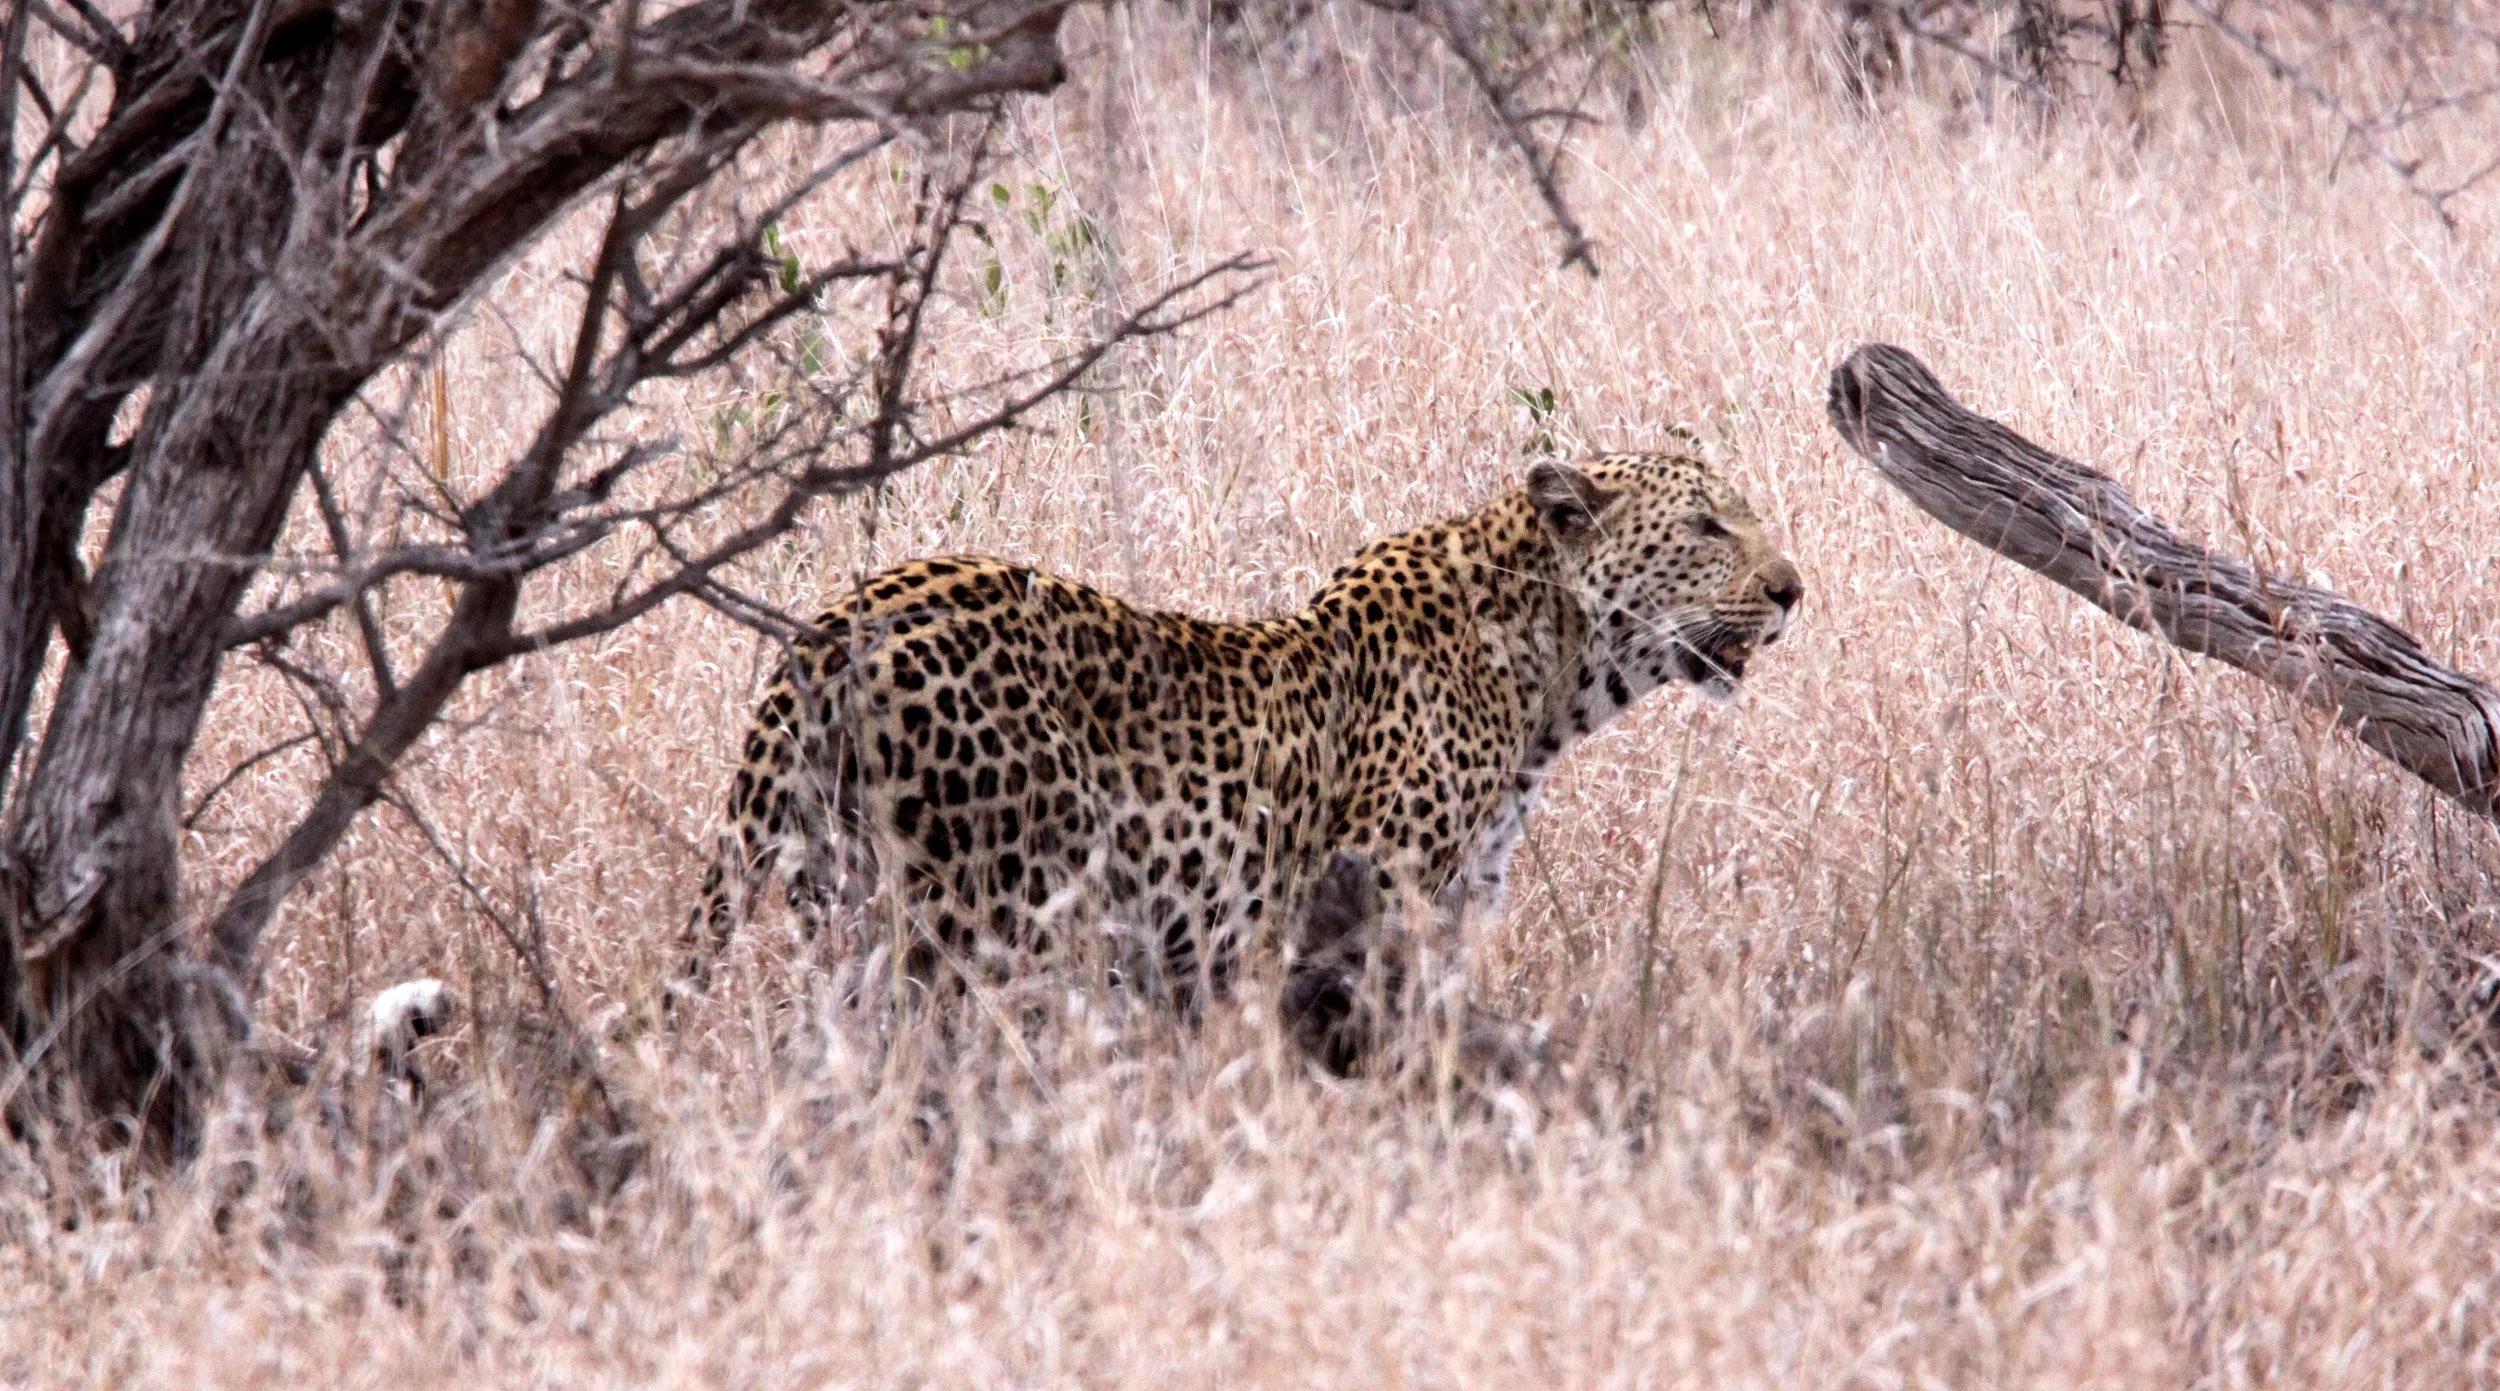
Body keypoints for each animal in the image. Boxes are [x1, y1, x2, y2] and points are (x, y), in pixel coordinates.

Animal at [682, 450, 1802, 1004]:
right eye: (1708, 526)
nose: (1794, 588)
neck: (1548, 678)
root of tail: (827, 629)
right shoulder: (1368, 901)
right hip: (992, 916)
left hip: (842, 900)